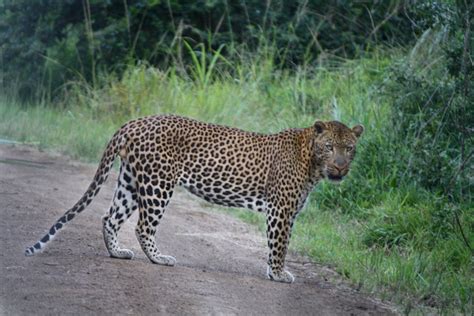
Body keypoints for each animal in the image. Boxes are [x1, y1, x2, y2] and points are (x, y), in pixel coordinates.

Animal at [25, 115, 362, 282]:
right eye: (329, 147)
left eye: (349, 149)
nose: (340, 168)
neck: (312, 162)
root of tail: (134, 122)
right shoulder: (281, 210)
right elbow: (279, 245)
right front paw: (278, 274)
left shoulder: (284, 211)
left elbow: (275, 244)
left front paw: (273, 272)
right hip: (158, 183)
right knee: (143, 226)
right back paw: (159, 258)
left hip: (131, 181)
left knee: (110, 217)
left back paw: (117, 253)